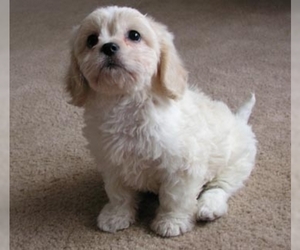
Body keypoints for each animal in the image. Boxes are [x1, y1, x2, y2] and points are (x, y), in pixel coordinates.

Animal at [65, 5, 255, 236]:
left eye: (134, 35)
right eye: (91, 40)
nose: (108, 47)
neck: (125, 102)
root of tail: (239, 120)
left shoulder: (181, 167)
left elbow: (175, 198)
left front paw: (171, 222)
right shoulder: (112, 163)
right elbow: (119, 194)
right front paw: (116, 216)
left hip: (236, 164)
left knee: (220, 187)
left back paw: (209, 207)